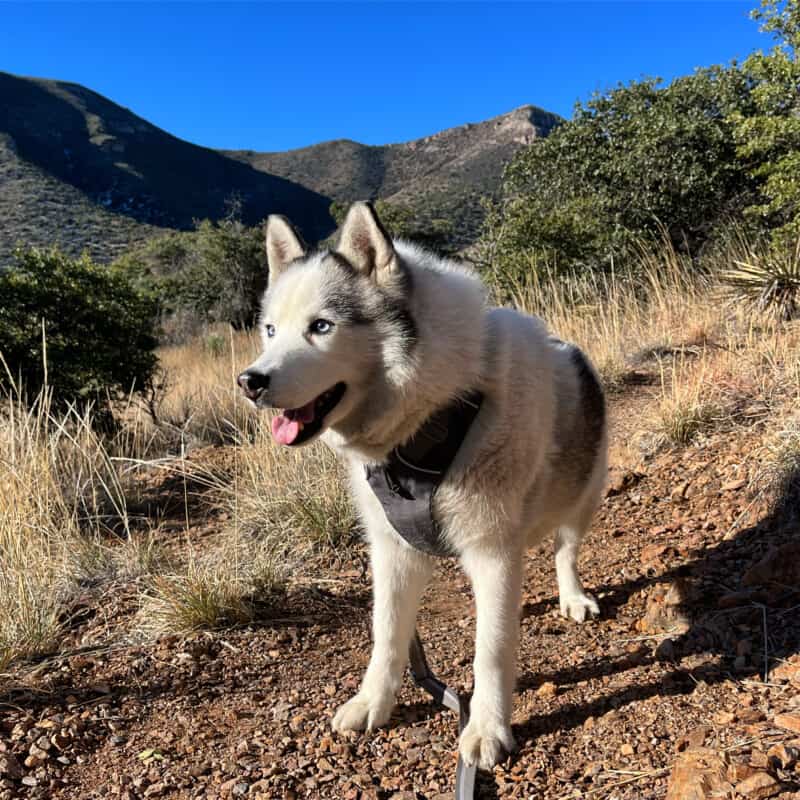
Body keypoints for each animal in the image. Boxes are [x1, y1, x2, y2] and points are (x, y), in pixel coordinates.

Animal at [238, 203, 608, 772]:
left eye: (321, 326)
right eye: (271, 331)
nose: (250, 382)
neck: (431, 420)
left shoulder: (492, 553)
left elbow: (491, 651)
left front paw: (487, 727)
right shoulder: (393, 551)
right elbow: (388, 633)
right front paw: (373, 702)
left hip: (584, 494)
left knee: (565, 549)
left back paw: (573, 597)